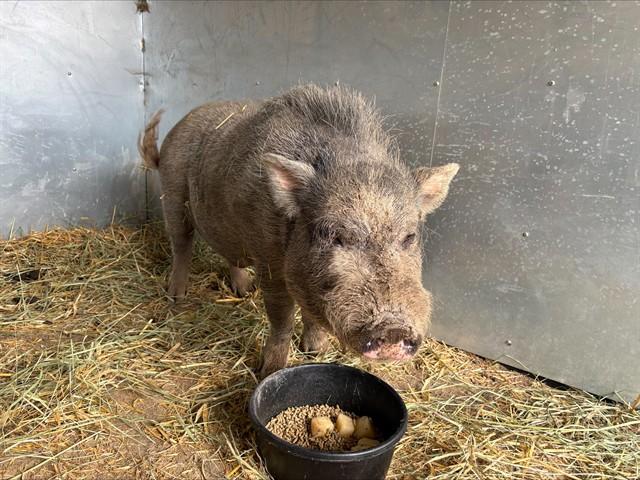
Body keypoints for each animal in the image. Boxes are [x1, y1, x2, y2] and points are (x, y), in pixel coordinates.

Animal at [138, 84, 459, 378]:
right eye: (334, 235)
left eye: (409, 237)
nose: (392, 328)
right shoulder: (269, 262)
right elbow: (282, 317)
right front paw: (269, 370)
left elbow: (312, 316)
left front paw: (315, 351)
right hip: (172, 192)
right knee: (182, 244)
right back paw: (177, 296)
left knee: (230, 255)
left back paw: (244, 291)